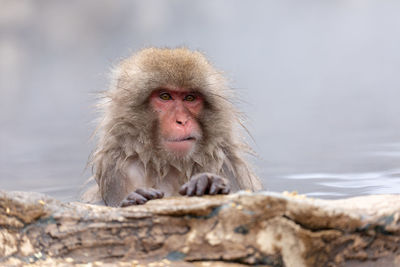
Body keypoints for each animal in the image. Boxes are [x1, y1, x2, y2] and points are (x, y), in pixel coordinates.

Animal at [83, 47, 262, 207]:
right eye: (165, 96)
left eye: (190, 98)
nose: (181, 121)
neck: (169, 164)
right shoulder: (119, 169)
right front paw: (133, 198)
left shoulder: (225, 163)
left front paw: (208, 182)